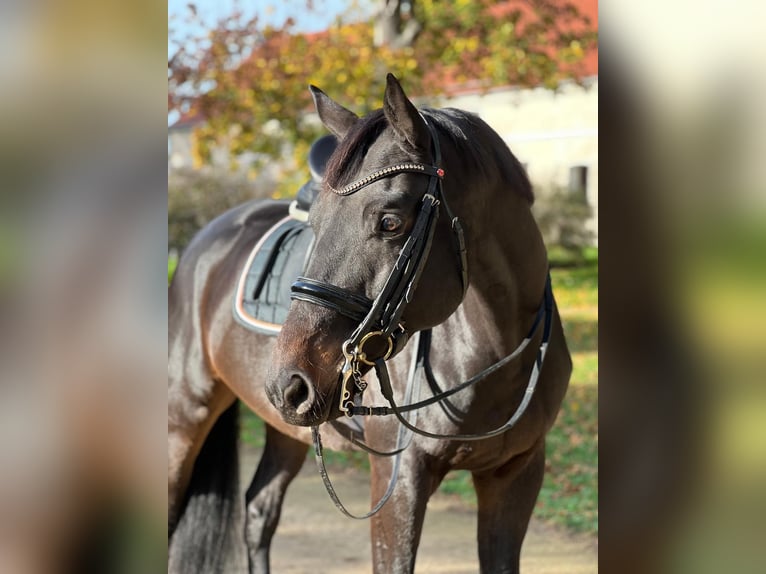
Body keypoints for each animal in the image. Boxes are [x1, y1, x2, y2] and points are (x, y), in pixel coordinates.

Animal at [168, 73, 571, 574]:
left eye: (390, 222)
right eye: (315, 224)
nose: (289, 383)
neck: (495, 354)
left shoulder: (516, 475)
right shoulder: (399, 482)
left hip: (286, 429)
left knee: (259, 511)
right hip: (185, 414)